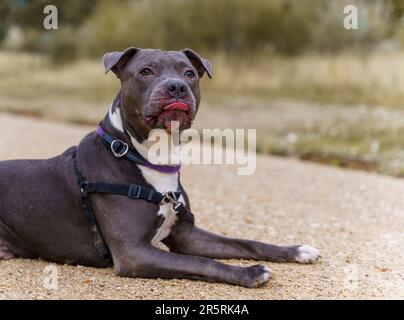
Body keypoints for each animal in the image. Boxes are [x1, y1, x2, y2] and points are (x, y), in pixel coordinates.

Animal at [0, 47, 320, 288]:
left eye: (189, 73)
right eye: (145, 71)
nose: (176, 86)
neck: (149, 157)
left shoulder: (186, 235)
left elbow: (244, 242)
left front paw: (295, 250)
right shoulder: (134, 253)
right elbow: (200, 262)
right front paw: (250, 272)